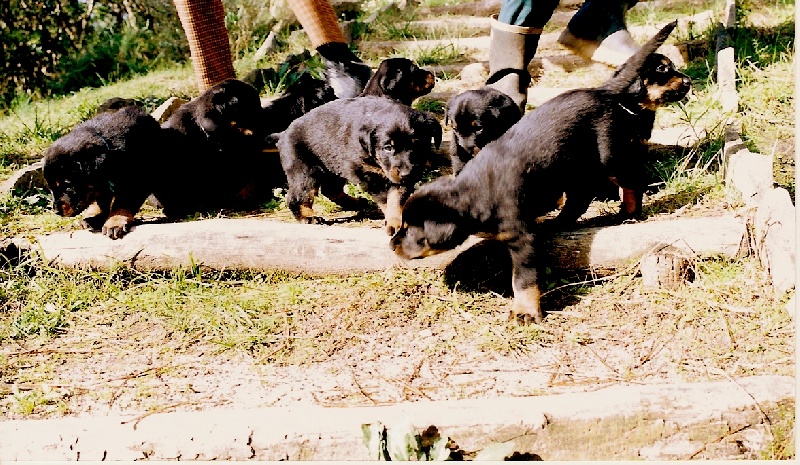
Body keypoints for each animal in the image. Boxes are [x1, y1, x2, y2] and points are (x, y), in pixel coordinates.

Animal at [43, 106, 165, 239]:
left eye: (67, 185)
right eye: (51, 188)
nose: (56, 211)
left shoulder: (137, 179)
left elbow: (123, 203)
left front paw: (114, 222)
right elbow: (99, 201)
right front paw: (94, 217)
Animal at [278, 95, 444, 234]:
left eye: (418, 145)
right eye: (388, 148)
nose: (407, 173)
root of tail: (282, 134)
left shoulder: (399, 178)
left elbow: (397, 197)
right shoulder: (369, 174)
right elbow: (387, 199)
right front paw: (394, 223)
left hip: (334, 165)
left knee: (331, 189)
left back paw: (357, 203)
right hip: (304, 170)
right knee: (297, 196)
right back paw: (308, 218)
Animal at [390, 21, 692, 324]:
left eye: (411, 230)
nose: (392, 245)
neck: (474, 193)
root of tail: (603, 90)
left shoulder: (522, 239)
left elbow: (523, 279)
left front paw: (525, 312)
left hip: (609, 156)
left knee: (630, 181)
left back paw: (628, 213)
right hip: (571, 166)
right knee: (580, 198)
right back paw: (559, 222)